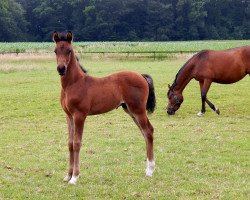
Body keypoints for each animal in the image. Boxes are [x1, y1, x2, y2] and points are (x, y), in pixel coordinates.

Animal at [51, 31, 155, 184]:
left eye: (69, 50)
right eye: (55, 50)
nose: (61, 69)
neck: (73, 84)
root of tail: (141, 76)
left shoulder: (79, 115)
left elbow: (77, 143)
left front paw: (75, 177)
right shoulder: (68, 116)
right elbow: (70, 144)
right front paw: (68, 175)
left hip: (138, 110)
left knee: (148, 132)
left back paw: (150, 171)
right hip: (130, 110)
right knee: (146, 132)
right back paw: (148, 168)